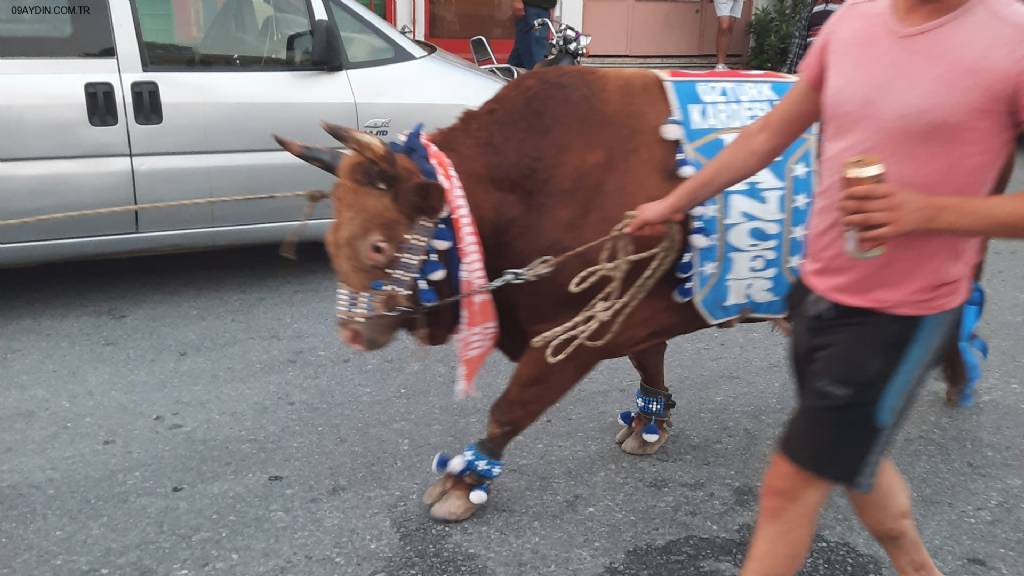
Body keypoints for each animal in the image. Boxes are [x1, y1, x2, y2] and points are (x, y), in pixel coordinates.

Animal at [274, 66, 991, 520]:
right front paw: (650, 422)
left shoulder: (571, 335)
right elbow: (650, 367)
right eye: (332, 232)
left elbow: (510, 409)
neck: (525, 183)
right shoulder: (634, 315)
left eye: (378, 246)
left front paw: (465, 478)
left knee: (950, 311)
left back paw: (953, 375)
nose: (351, 331)